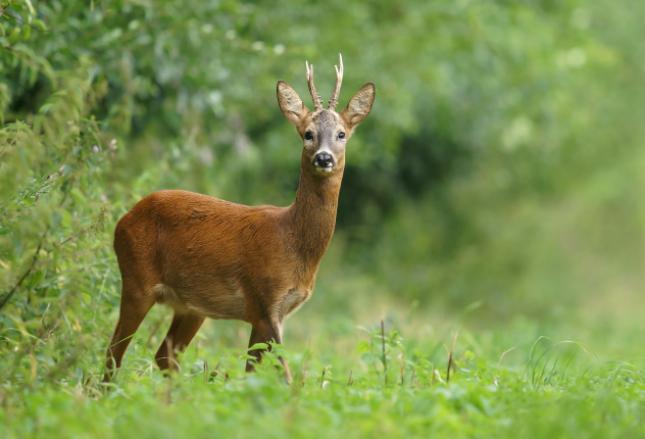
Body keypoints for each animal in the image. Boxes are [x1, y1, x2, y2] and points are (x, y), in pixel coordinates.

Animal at [103, 55, 374, 384]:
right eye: (308, 133)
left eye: (341, 134)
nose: (324, 158)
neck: (294, 242)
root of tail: (124, 219)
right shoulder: (264, 300)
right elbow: (282, 373)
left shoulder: (272, 312)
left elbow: (254, 371)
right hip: (136, 279)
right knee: (113, 353)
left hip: (191, 306)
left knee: (163, 355)